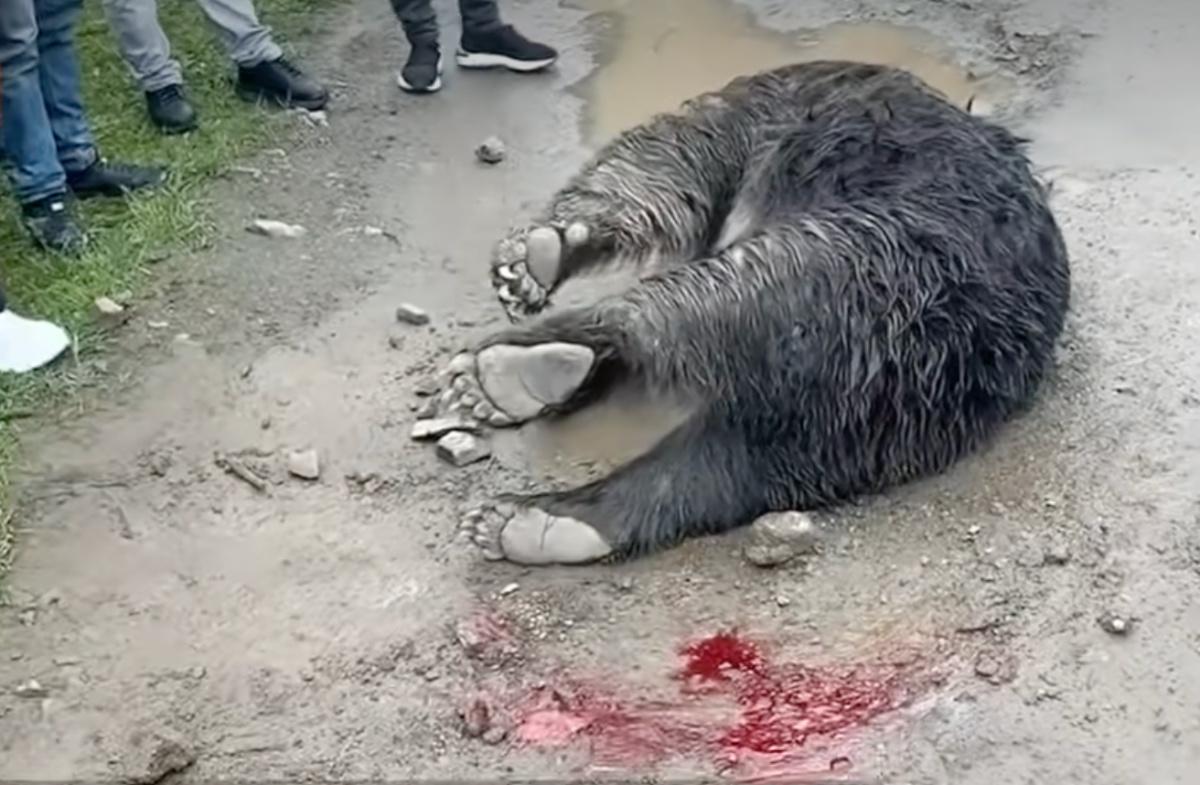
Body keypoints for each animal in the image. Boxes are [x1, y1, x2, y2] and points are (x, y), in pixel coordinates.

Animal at [424, 60, 1070, 566]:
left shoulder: (762, 118)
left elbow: (661, 172)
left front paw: (533, 258)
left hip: (846, 264)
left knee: (701, 307)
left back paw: (510, 375)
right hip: (884, 419)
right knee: (732, 467)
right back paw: (538, 520)